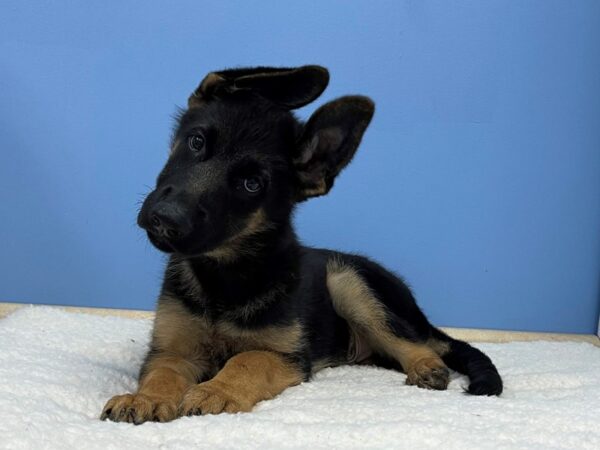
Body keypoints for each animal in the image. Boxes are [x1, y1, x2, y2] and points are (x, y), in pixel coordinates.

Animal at [99, 65, 502, 424]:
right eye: (196, 142)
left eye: (251, 184)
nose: (165, 218)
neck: (225, 275)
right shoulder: (171, 350)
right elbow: (164, 372)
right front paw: (146, 398)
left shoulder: (285, 356)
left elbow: (246, 360)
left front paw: (217, 390)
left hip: (348, 281)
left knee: (421, 344)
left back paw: (426, 366)